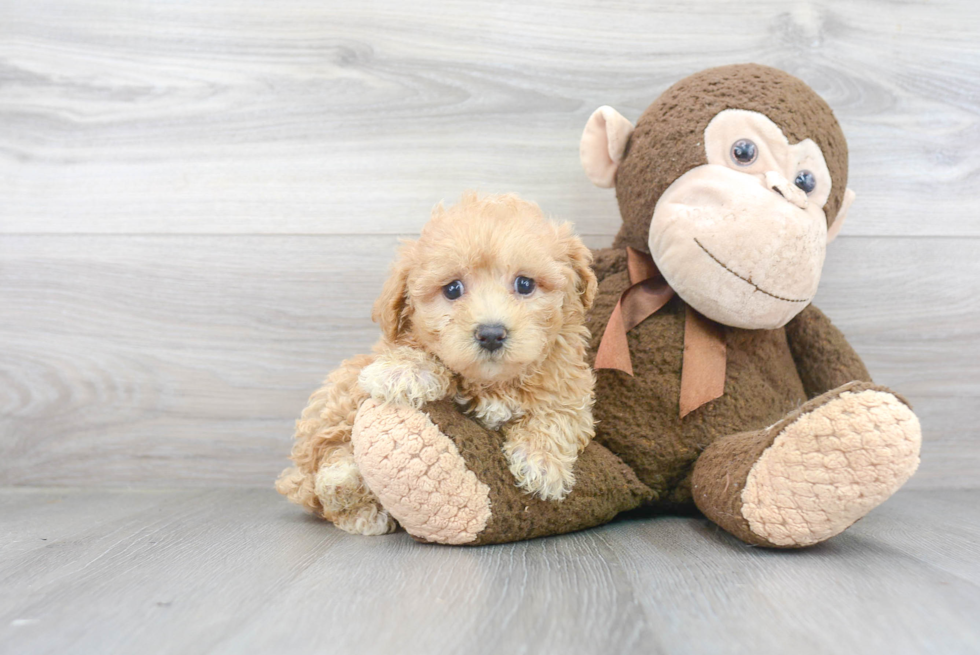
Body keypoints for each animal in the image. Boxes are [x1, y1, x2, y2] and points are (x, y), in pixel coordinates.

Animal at [276, 193, 596, 540]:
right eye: (452, 289)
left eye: (525, 284)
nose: (491, 334)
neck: (494, 382)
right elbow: (419, 354)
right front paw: (403, 370)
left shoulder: (569, 385)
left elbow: (559, 415)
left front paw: (542, 462)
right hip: (338, 400)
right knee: (320, 466)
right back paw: (345, 484)